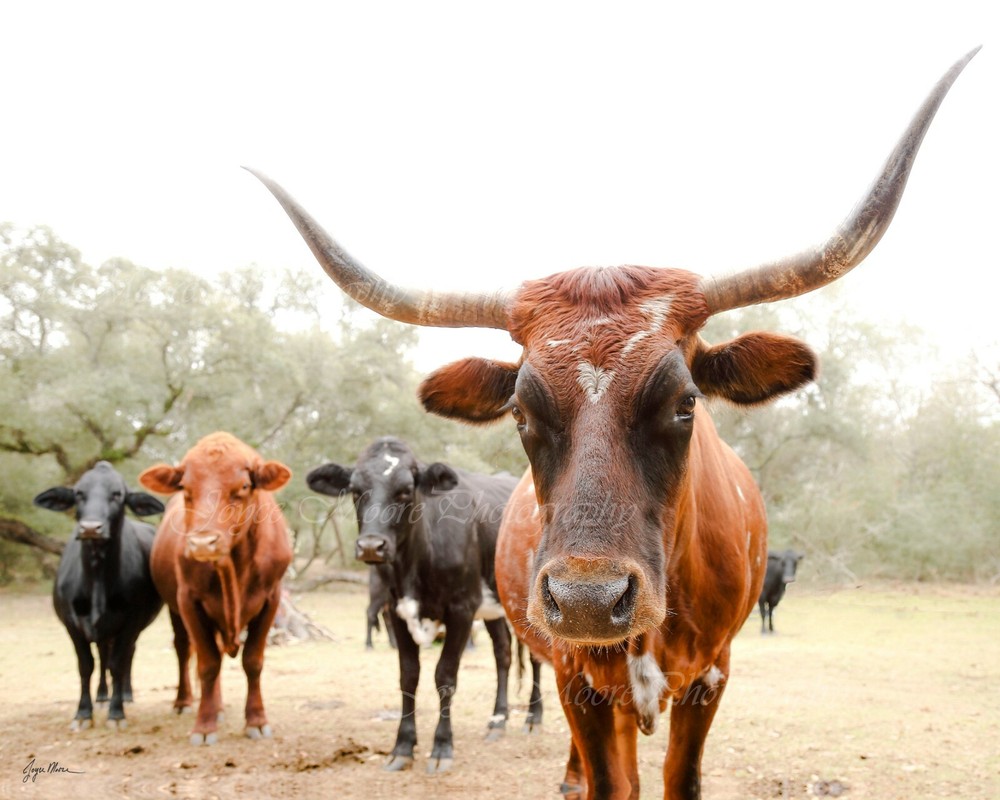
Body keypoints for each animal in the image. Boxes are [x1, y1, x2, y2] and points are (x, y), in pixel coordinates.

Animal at [33, 461, 165, 731]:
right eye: (79, 493)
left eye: (117, 494)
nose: (91, 528)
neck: (97, 580)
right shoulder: (72, 624)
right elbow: (86, 666)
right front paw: (83, 713)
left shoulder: (130, 623)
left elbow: (117, 664)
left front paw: (117, 712)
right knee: (103, 655)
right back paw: (102, 695)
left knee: (125, 657)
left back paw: (125, 694)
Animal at [138, 432, 293, 745]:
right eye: (185, 486)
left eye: (244, 486)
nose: (202, 543)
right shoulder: (189, 601)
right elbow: (208, 664)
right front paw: (204, 726)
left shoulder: (270, 600)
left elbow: (253, 661)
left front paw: (256, 720)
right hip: (175, 609)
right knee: (184, 650)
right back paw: (185, 702)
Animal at [306, 436, 521, 773]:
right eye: (355, 489)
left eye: (406, 489)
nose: (371, 546)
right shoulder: (397, 612)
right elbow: (409, 676)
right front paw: (403, 746)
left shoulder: (461, 609)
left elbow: (445, 676)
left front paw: (442, 747)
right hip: (493, 607)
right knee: (504, 652)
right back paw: (498, 721)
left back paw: (534, 718)